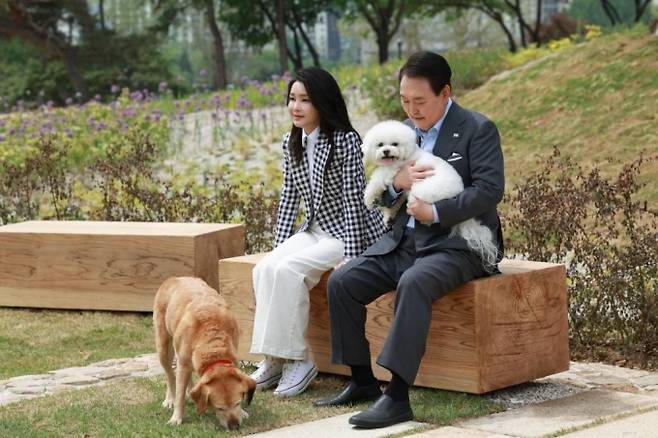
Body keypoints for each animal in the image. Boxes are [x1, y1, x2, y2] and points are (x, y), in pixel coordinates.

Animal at [154, 278, 256, 428]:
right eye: (219, 408)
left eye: (237, 403)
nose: (234, 426)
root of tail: (173, 278)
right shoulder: (183, 364)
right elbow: (179, 395)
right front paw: (176, 418)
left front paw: (242, 412)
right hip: (163, 348)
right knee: (170, 375)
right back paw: (170, 399)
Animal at [362, 120, 494, 270]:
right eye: (380, 145)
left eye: (395, 144)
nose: (386, 151)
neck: (403, 156)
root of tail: (458, 193)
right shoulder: (401, 185)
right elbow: (397, 198)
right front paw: (389, 215)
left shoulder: (393, 171)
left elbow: (376, 180)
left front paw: (369, 199)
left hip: (422, 189)